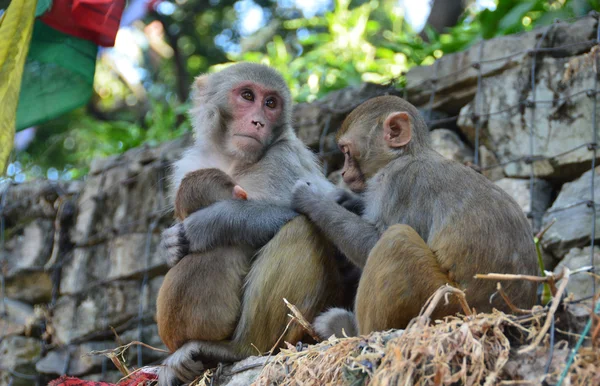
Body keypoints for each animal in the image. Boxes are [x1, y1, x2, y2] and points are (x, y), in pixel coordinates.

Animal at [292, 95, 540, 336]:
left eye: (345, 151)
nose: (343, 172)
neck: (405, 154)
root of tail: (511, 316)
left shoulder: (401, 182)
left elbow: (372, 243)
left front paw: (311, 199)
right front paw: (345, 199)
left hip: (445, 304)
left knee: (396, 240)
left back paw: (356, 332)